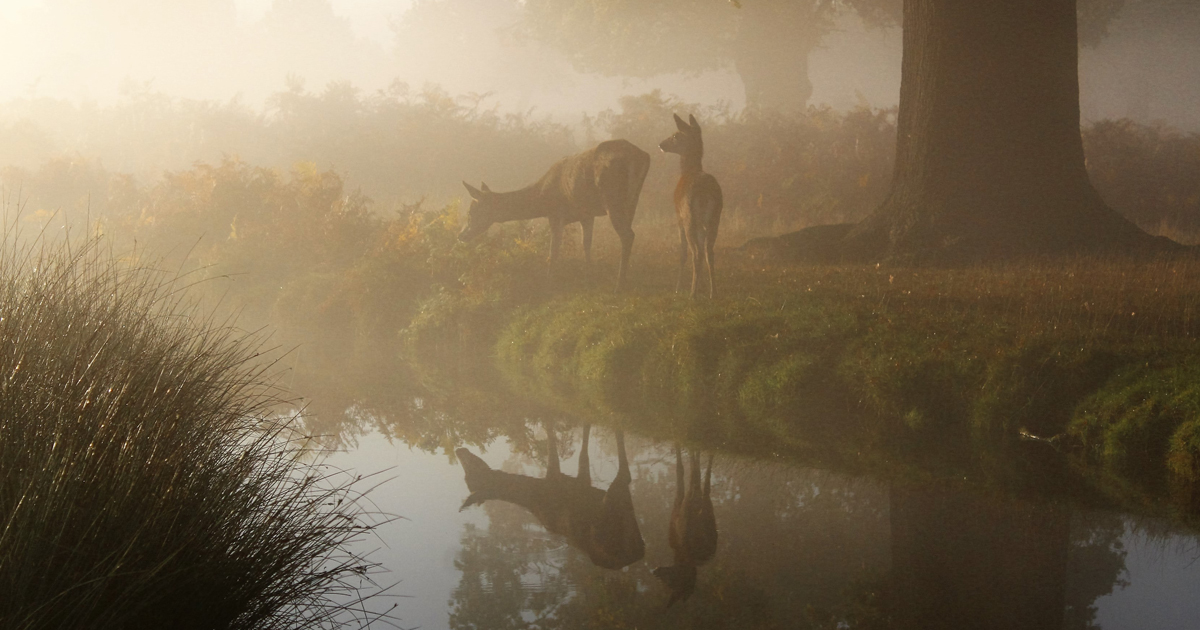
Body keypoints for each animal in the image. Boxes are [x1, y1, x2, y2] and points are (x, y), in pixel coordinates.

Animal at [451, 424, 643, 566]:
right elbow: (583, 451)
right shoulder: (580, 483)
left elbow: (552, 437)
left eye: (472, 472)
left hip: (612, 507)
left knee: (625, 475)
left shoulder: (556, 477)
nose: (459, 450)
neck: (535, 492)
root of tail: (639, 551)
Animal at [458, 138, 652, 291]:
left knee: (627, 235)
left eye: (471, 211)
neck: (541, 199)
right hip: (632, 199)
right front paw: (589, 275)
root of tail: (642, 156)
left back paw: (619, 285)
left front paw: (549, 282)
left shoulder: (555, 214)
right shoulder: (586, 214)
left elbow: (554, 249)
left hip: (612, 198)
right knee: (629, 234)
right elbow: (586, 244)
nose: (461, 235)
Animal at [657, 114, 720, 300]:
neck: (688, 170)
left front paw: (678, 288)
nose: (661, 144)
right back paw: (713, 293)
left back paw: (692, 293)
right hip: (715, 217)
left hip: (689, 218)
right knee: (709, 251)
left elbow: (682, 252)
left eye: (676, 135)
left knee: (696, 252)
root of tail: (705, 192)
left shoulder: (678, 217)